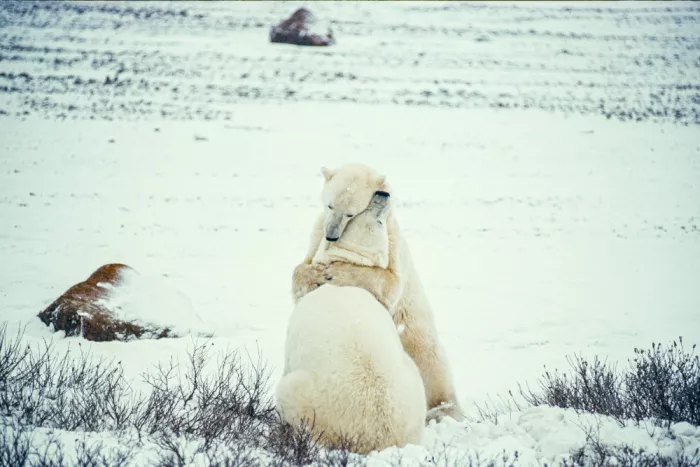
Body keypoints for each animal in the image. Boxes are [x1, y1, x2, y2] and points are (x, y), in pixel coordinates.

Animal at [291, 163, 464, 422]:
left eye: (351, 214)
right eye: (329, 205)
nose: (332, 234)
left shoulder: (392, 240)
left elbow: (389, 282)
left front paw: (337, 272)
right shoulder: (317, 231)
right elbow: (301, 273)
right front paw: (314, 273)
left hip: (415, 334)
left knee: (430, 362)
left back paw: (444, 409)